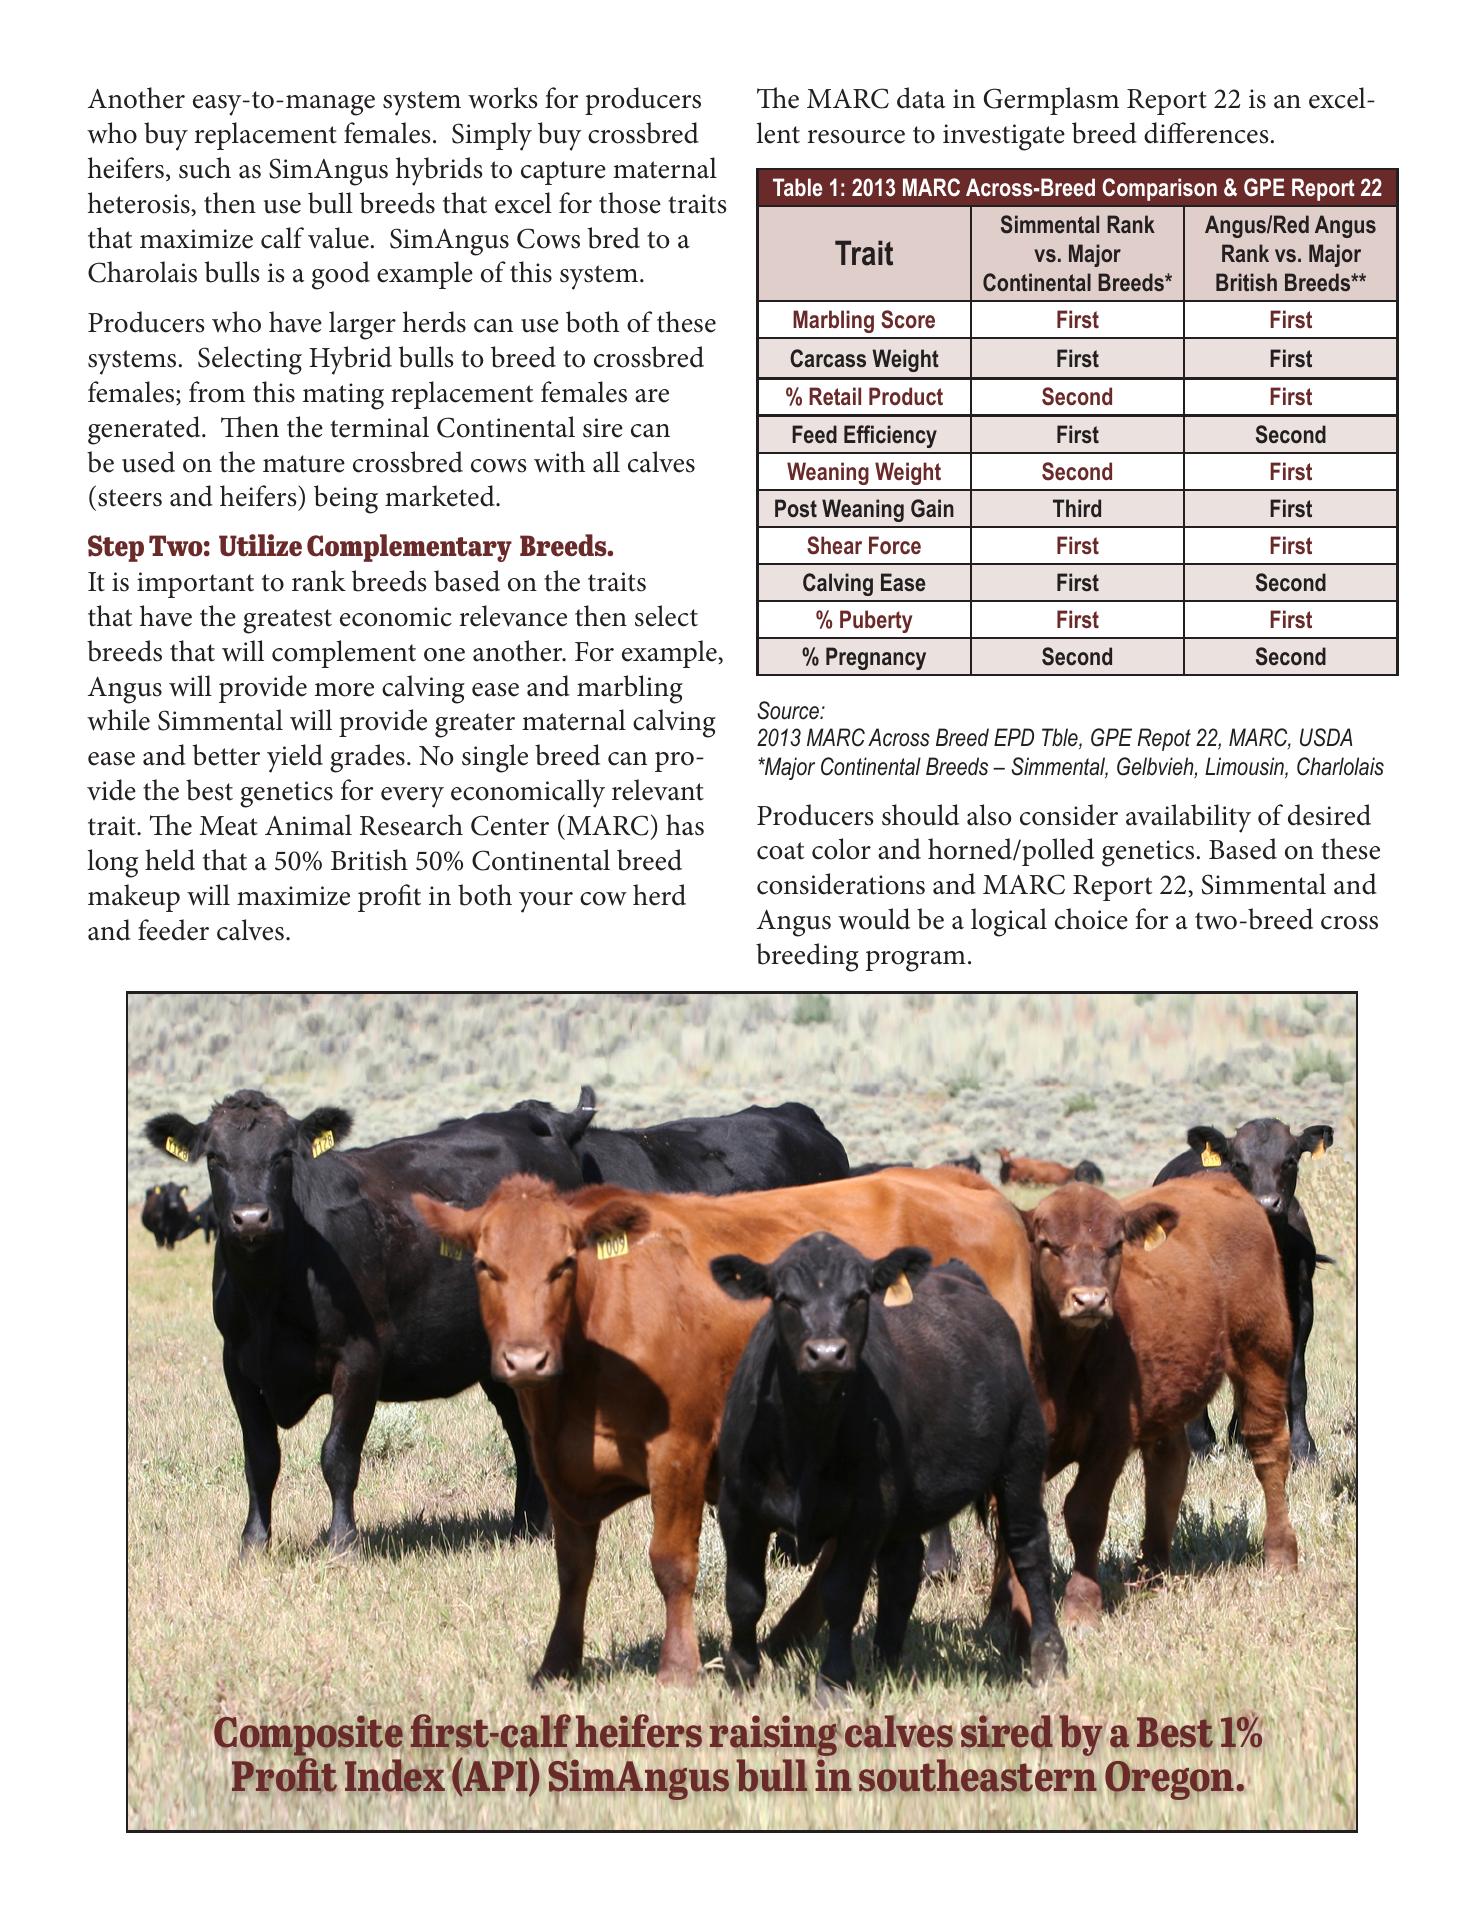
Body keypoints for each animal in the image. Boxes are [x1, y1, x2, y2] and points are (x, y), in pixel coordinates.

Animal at [142, 1089, 607, 1554]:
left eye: (283, 1155)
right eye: (215, 1158)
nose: (252, 1218)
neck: (268, 1296)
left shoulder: (360, 1356)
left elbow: (339, 1454)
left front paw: (343, 1542)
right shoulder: (238, 1366)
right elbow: (260, 1458)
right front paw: (253, 1544)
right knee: (523, 1437)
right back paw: (524, 1529)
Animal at [412, 1166, 1035, 1684]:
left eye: (563, 1263)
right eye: (484, 1266)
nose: (525, 1360)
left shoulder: (679, 1451)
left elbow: (671, 1563)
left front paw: (678, 1668)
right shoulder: (558, 1465)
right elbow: (573, 1569)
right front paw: (557, 1666)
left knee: (1013, 1530)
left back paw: (1015, 1629)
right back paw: (786, 1639)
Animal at [710, 1235, 1066, 1698]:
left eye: (860, 1296)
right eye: (785, 1297)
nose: (827, 1354)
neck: (807, 1438)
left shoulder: (867, 1512)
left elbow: (842, 1594)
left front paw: (833, 1682)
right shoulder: (737, 1506)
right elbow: (744, 1595)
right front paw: (740, 1677)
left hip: (1021, 1460)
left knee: (1028, 1551)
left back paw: (1049, 1656)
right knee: (904, 1566)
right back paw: (888, 1659)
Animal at [1021, 1176, 1298, 1628]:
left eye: (1115, 1245)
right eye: (1049, 1244)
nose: (1090, 1299)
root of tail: (1217, 1180)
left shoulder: (1110, 1438)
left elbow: (1085, 1514)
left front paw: (1081, 1606)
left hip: (1263, 1352)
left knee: (1268, 1450)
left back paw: (1280, 1553)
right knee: (1168, 1465)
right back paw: (1151, 1570)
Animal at [1155, 1119, 1335, 1463]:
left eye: (1290, 1160)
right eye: (1239, 1163)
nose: (1266, 1203)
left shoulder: (1301, 1305)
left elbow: (1294, 1380)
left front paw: (1303, 1449)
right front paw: (1200, 1443)